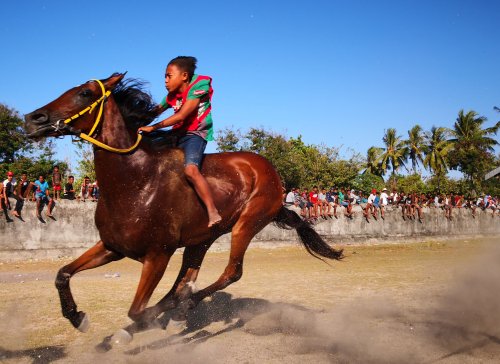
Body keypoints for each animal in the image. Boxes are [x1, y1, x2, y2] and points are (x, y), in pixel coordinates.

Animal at [24, 73, 344, 344]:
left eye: (85, 93)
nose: (32, 118)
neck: (135, 181)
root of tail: (271, 171)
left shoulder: (158, 254)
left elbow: (137, 311)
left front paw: (148, 323)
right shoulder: (112, 247)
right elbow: (62, 274)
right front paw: (78, 317)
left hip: (246, 224)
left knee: (231, 273)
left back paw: (181, 307)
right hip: (202, 239)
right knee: (184, 281)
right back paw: (178, 307)